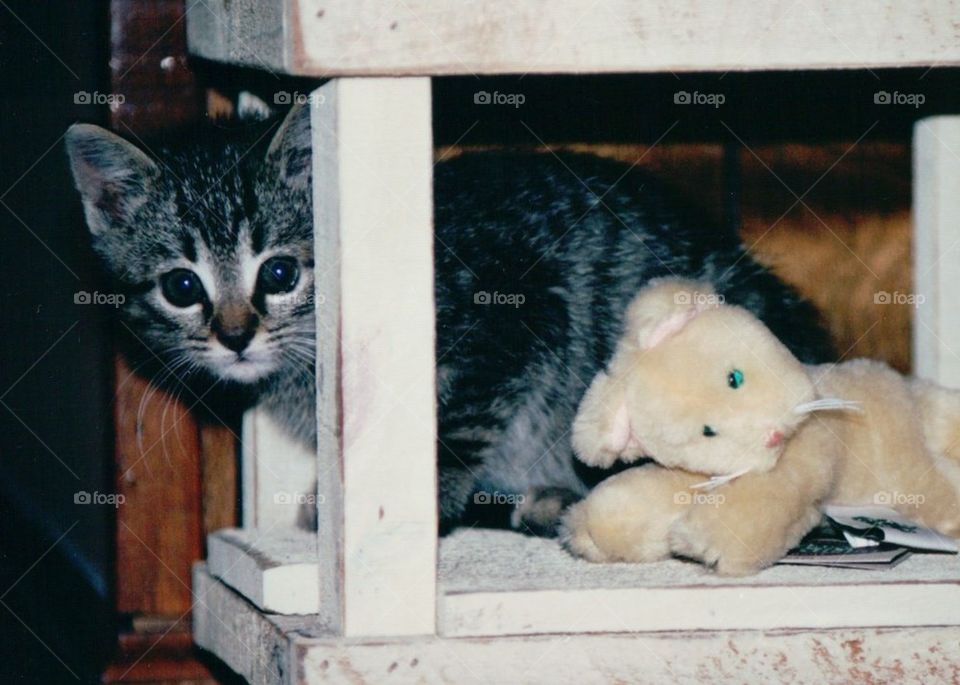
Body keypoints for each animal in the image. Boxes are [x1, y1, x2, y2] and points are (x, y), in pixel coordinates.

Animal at [67, 105, 832, 536]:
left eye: (279, 274)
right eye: (181, 286)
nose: (234, 337)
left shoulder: (517, 314)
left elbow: (453, 424)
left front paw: (419, 505)